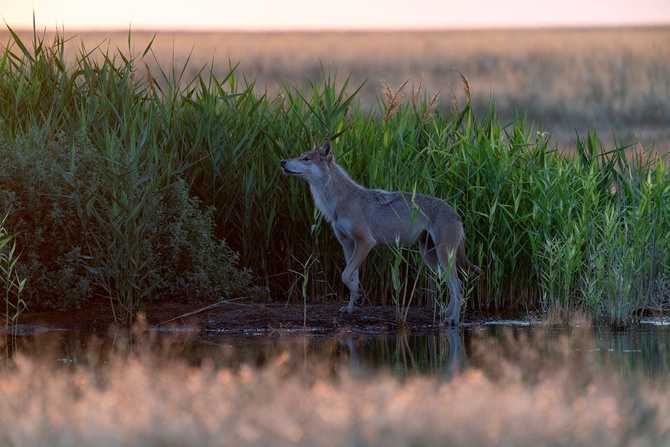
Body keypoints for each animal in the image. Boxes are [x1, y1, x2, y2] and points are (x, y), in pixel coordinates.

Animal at [280, 139, 484, 326]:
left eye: (306, 158)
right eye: (300, 156)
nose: (282, 161)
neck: (340, 201)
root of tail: (456, 213)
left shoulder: (365, 243)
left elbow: (345, 276)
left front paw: (357, 296)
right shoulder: (348, 245)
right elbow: (352, 278)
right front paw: (351, 306)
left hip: (443, 257)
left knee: (459, 287)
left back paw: (453, 319)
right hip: (431, 259)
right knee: (452, 287)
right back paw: (445, 314)